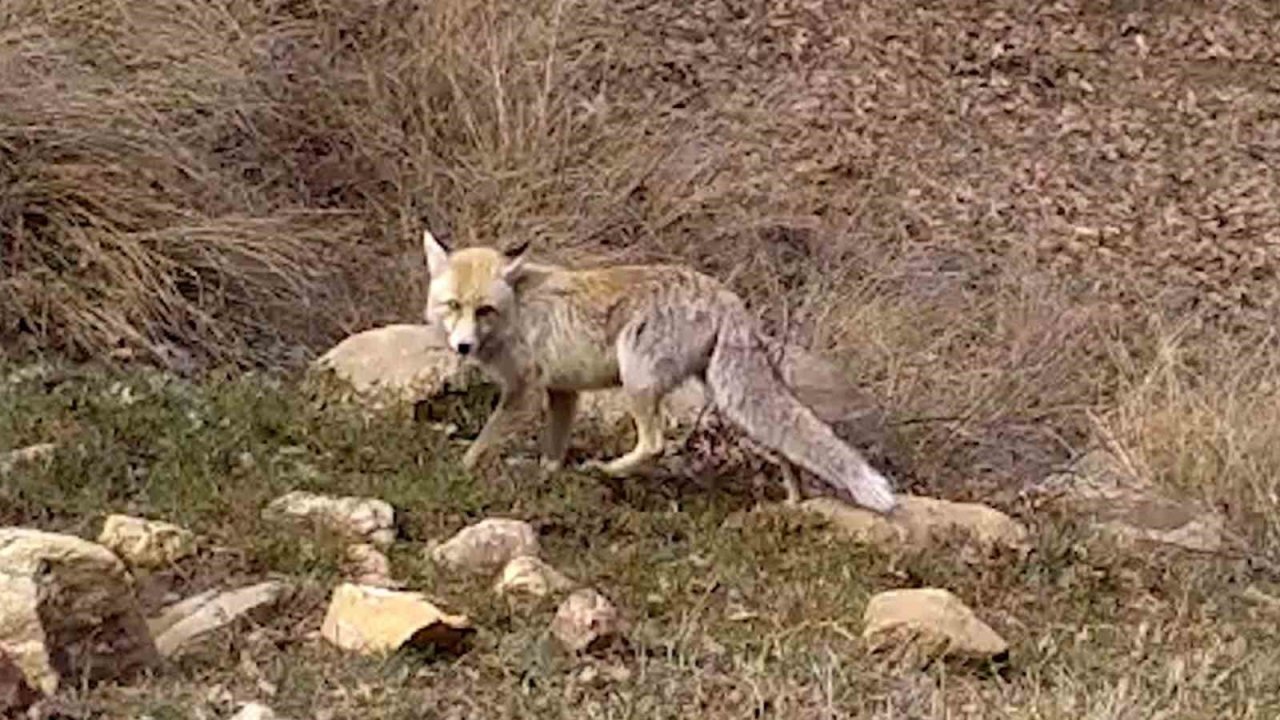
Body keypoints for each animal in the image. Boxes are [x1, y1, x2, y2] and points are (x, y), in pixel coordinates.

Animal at [422, 226, 901, 512]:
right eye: (453, 306)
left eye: (484, 310)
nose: (462, 346)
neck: (518, 312)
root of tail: (725, 294)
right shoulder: (563, 392)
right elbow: (552, 450)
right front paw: (547, 479)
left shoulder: (524, 391)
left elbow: (482, 443)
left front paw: (460, 472)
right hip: (732, 399)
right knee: (787, 442)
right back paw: (794, 503)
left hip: (638, 380)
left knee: (654, 444)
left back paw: (606, 470)